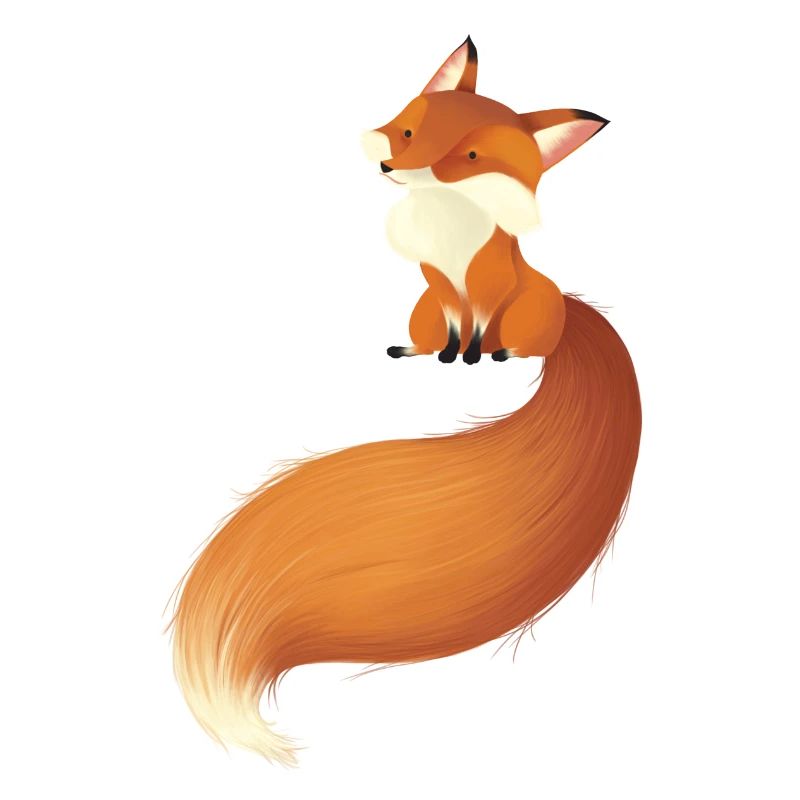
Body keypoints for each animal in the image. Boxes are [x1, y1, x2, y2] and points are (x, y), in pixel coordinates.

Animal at [170, 36, 641, 766]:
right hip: (420, 306)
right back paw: (416, 353)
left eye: (472, 157)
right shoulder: (437, 288)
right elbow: (448, 331)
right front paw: (443, 357)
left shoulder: (484, 289)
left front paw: (472, 359)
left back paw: (496, 356)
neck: (447, 225)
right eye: (413, 132)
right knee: (426, 336)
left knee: (513, 343)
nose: (393, 165)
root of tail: (568, 312)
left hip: (530, 309)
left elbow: (474, 333)